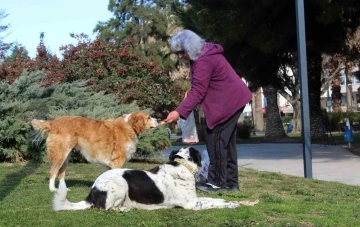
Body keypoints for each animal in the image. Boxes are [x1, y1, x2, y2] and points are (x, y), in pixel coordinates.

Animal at [52, 147, 258, 211]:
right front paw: (232, 204)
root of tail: (92, 191)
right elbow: (213, 203)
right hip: (120, 185)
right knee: (105, 208)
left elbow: (213, 199)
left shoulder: (195, 199)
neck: (182, 165)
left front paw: (228, 200)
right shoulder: (191, 204)